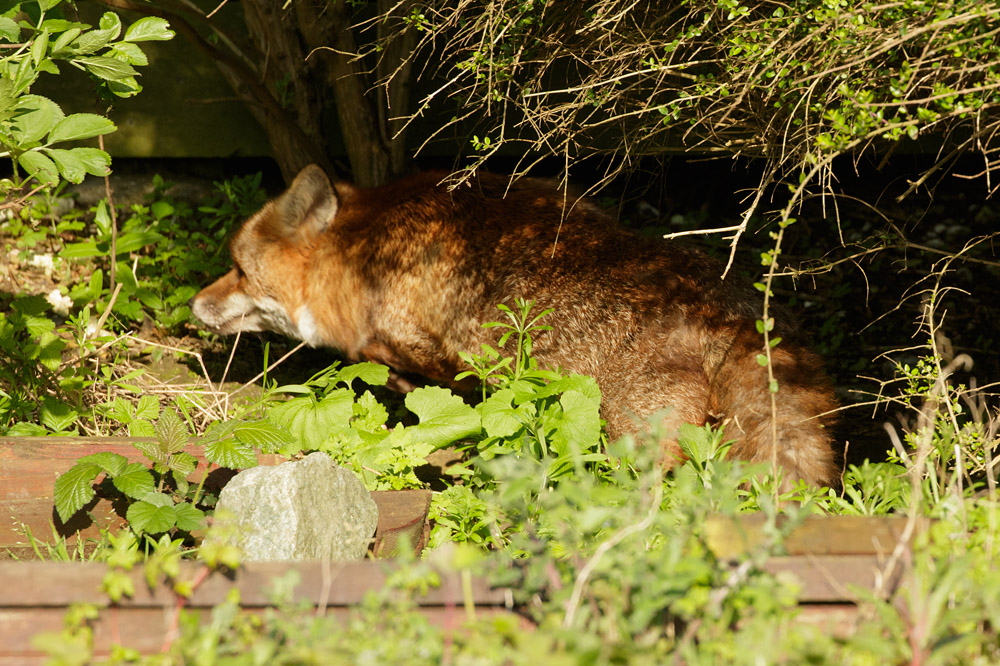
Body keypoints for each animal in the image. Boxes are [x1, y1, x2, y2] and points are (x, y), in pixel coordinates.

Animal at [192, 165, 840, 487]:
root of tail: (729, 308)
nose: (194, 304)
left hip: (635, 441)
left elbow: (425, 383)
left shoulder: (432, 348)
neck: (361, 256)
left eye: (239, 270)